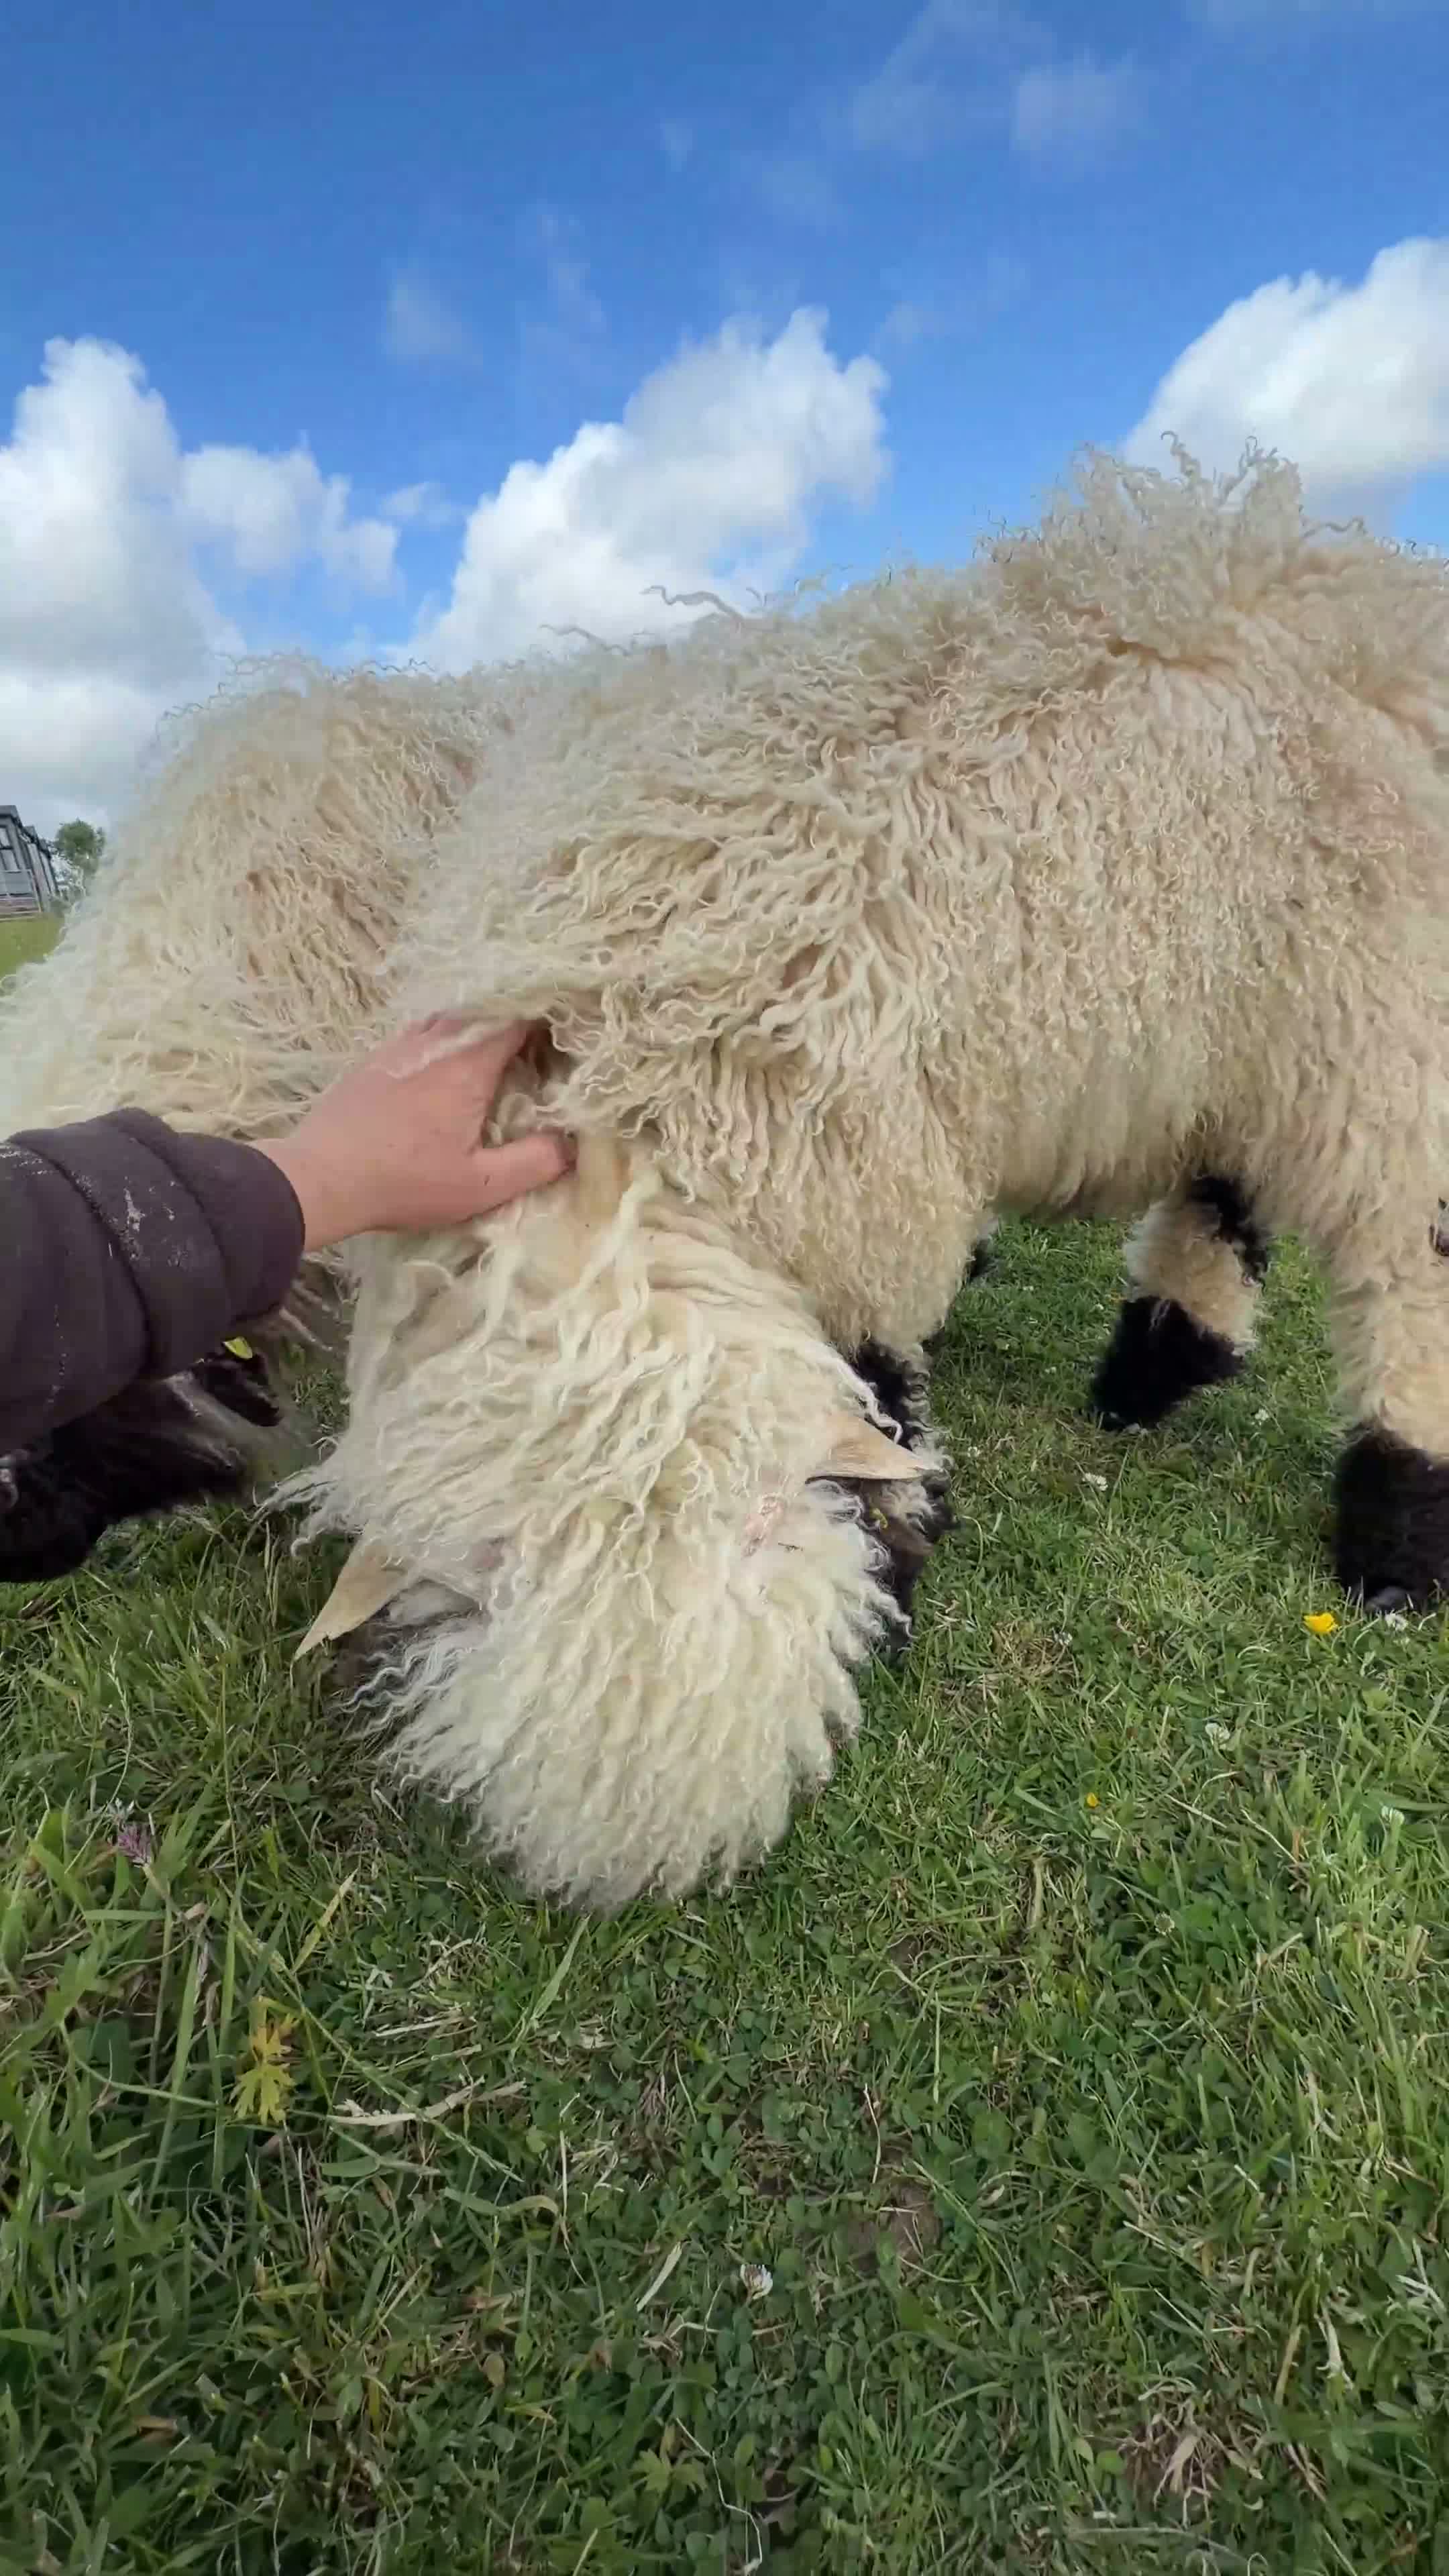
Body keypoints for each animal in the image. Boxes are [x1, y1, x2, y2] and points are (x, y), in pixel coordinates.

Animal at [6, 439, 1449, 1915]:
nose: (29, 1552)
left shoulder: (863, 1179)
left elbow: (881, 1378)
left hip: (1381, 1024)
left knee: (1404, 1258)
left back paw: (1393, 1534)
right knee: (1227, 1186)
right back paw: (1159, 1365)